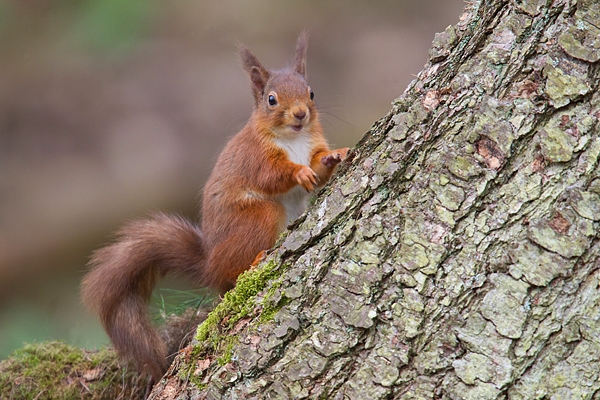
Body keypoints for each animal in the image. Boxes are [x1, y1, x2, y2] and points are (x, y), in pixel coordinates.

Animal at [82, 31, 350, 382]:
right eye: (271, 99)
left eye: (311, 92)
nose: (301, 114)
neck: (294, 139)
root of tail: (208, 261)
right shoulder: (255, 157)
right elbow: (273, 176)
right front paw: (298, 172)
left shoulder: (312, 145)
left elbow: (319, 166)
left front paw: (335, 156)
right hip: (258, 219)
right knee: (230, 274)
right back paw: (252, 261)